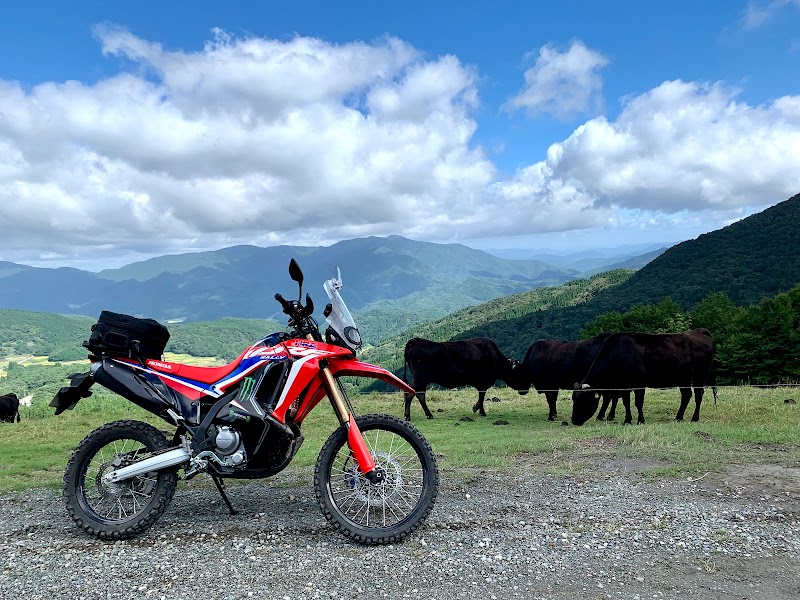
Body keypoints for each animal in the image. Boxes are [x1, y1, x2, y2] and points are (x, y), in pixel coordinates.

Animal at [568, 330, 720, 424]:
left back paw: (694, 418)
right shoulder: (623, 385)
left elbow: (638, 403)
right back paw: (678, 417)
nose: (574, 420)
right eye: (573, 399)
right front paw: (627, 420)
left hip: (700, 375)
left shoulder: (639, 383)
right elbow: (626, 402)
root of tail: (698, 331)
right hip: (683, 378)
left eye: (582, 400)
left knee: (698, 395)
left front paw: (640, 420)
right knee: (687, 395)